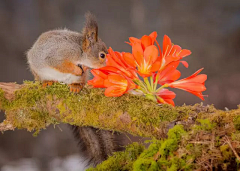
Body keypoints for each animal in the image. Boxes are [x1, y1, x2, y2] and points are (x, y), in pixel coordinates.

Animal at [26, 13, 125, 167]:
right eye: (102, 55)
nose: (109, 66)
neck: (79, 52)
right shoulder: (57, 56)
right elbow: (62, 65)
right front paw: (77, 68)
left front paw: (82, 69)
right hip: (36, 69)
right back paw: (48, 82)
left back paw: (75, 85)